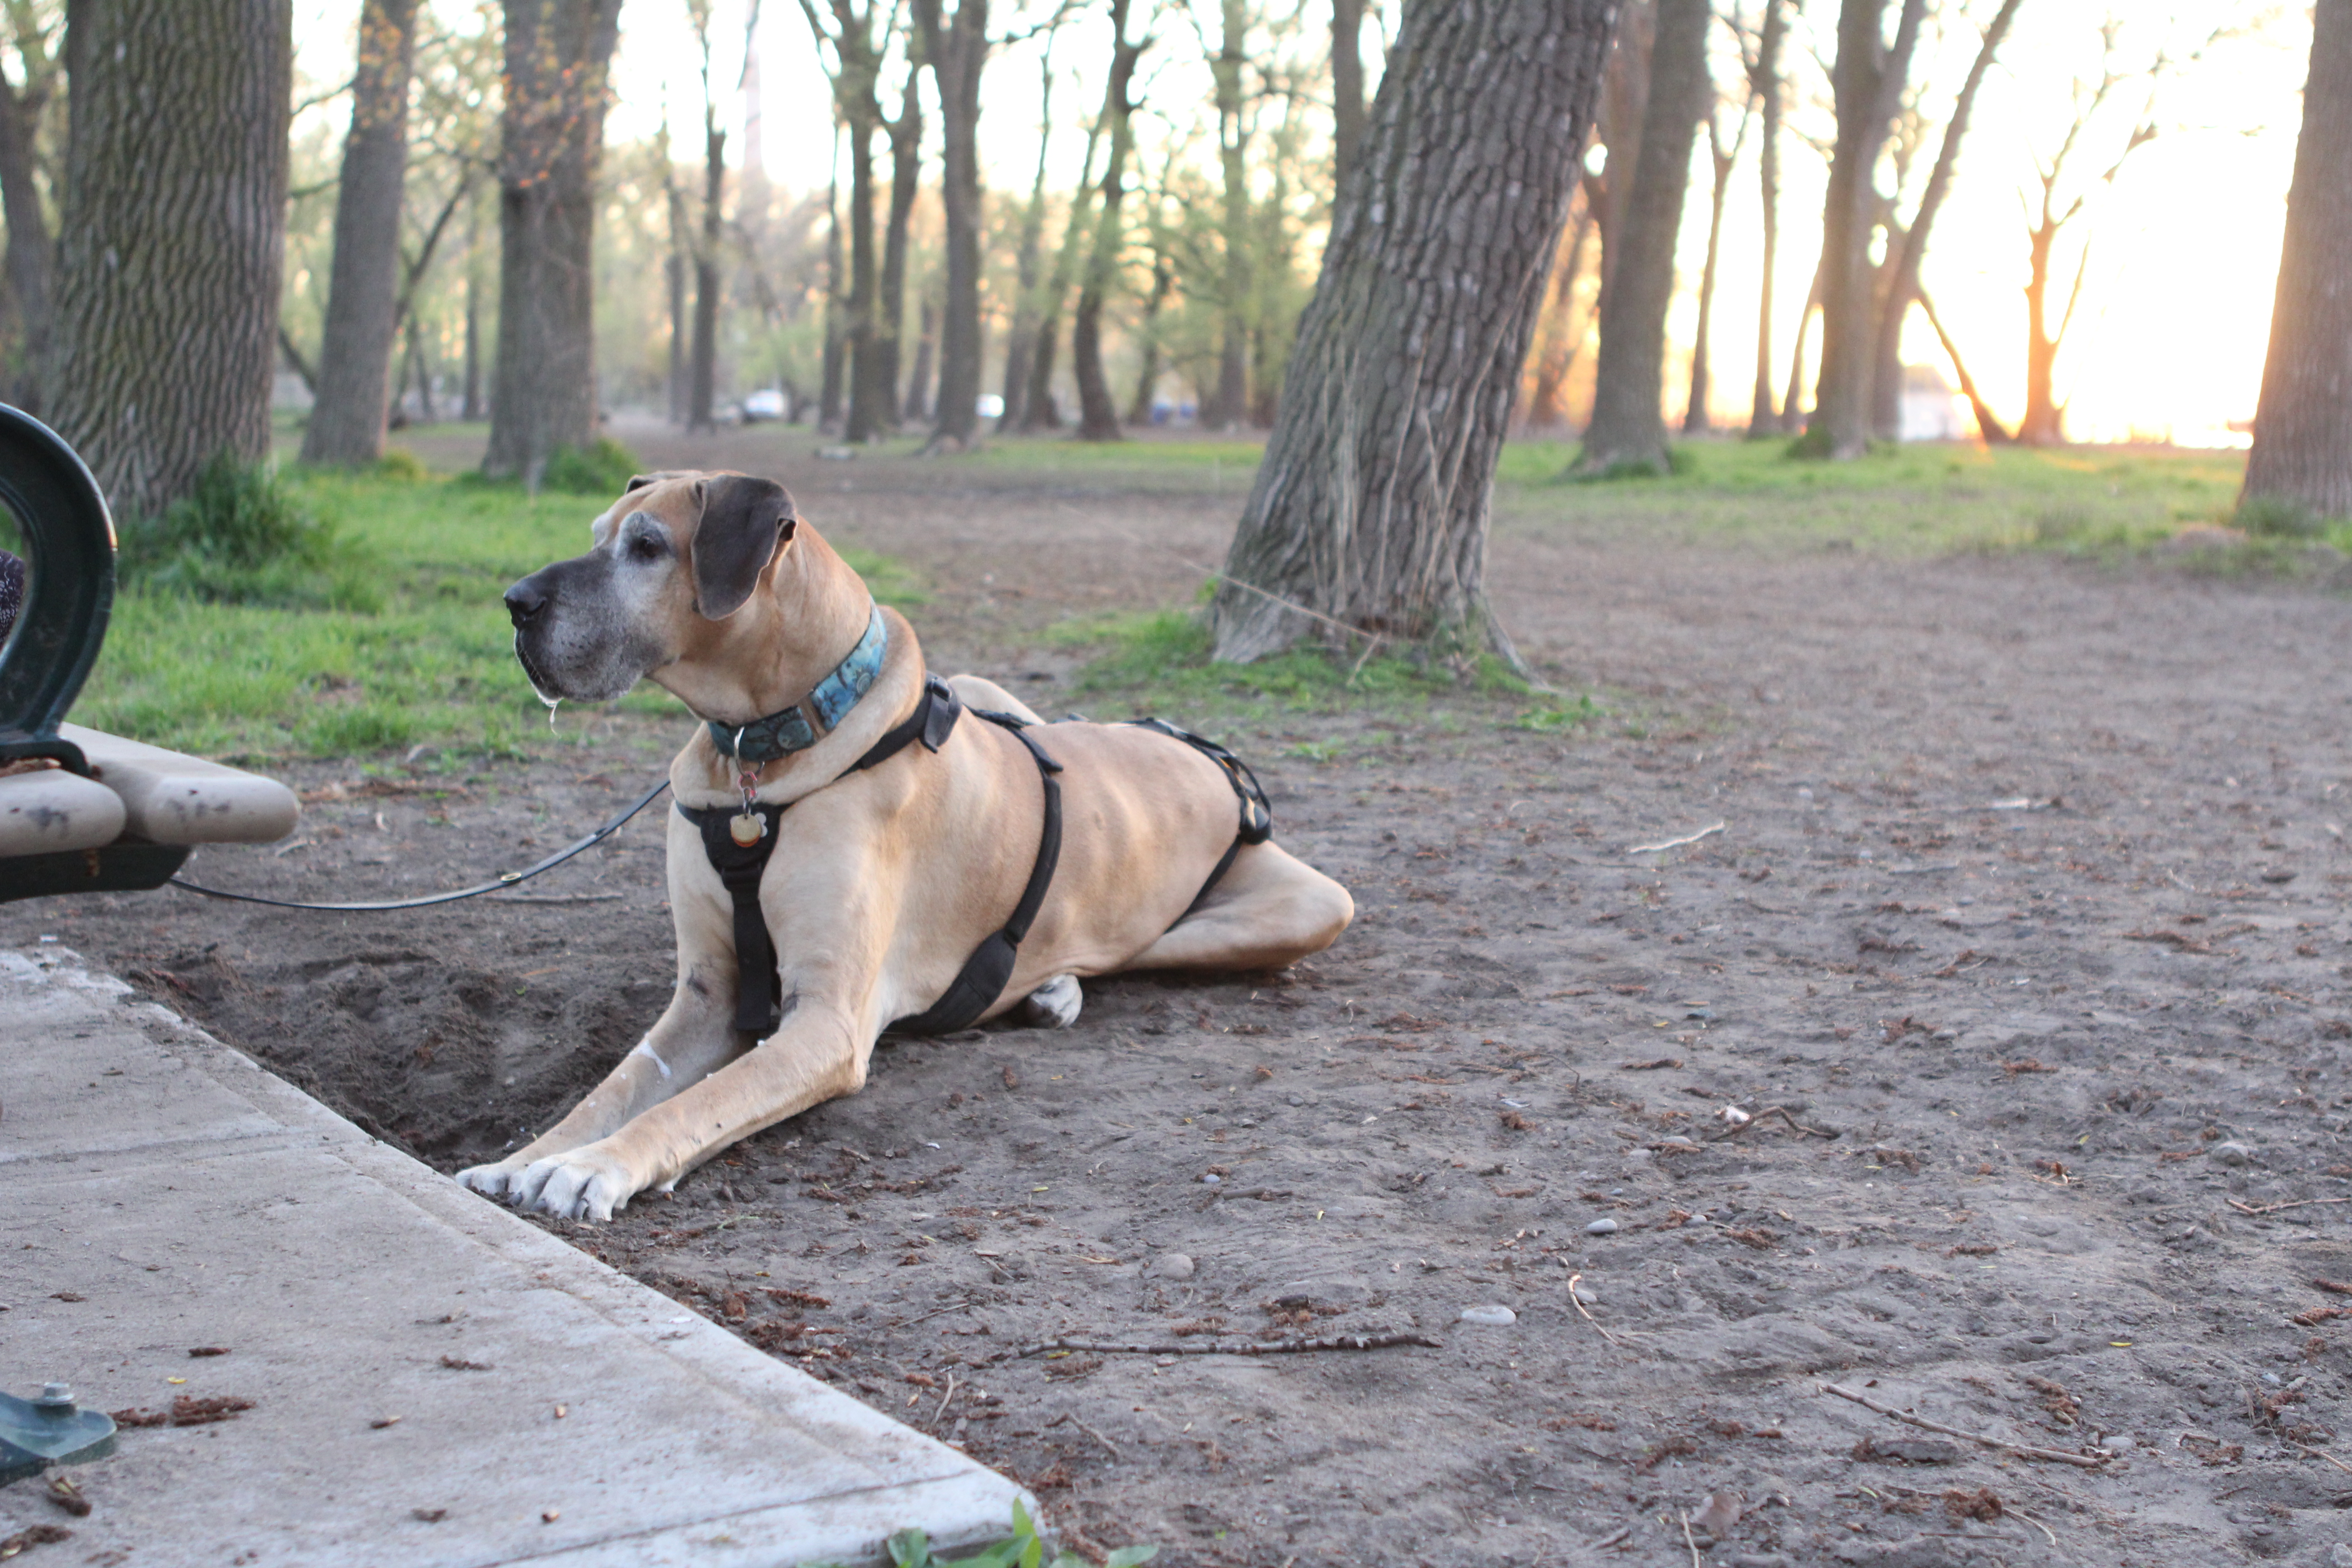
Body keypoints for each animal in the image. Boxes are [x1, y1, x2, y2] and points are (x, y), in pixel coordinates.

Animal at [454, 472, 1364, 1222]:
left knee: (1137, 949)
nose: (514, 603)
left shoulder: (825, 1024)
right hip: (996, 692)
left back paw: (1056, 983)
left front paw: (593, 1168)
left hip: (1311, 907)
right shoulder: (707, 993)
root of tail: (1199, 751)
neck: (763, 748)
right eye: (599, 533)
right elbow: (615, 1087)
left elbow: (691, 1105)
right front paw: (529, 1157)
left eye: (646, 547)